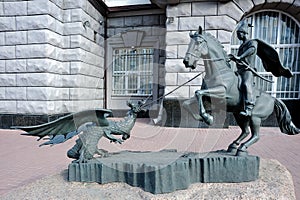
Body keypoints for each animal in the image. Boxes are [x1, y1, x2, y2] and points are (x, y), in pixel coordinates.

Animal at [182, 26, 298, 155]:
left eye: (199, 42)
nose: (187, 61)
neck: (219, 72)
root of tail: (273, 98)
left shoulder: (221, 93)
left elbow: (199, 93)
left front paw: (208, 118)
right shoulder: (208, 97)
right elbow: (187, 102)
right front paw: (201, 117)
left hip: (255, 118)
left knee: (255, 136)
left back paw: (242, 148)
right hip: (239, 115)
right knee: (245, 131)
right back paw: (233, 146)